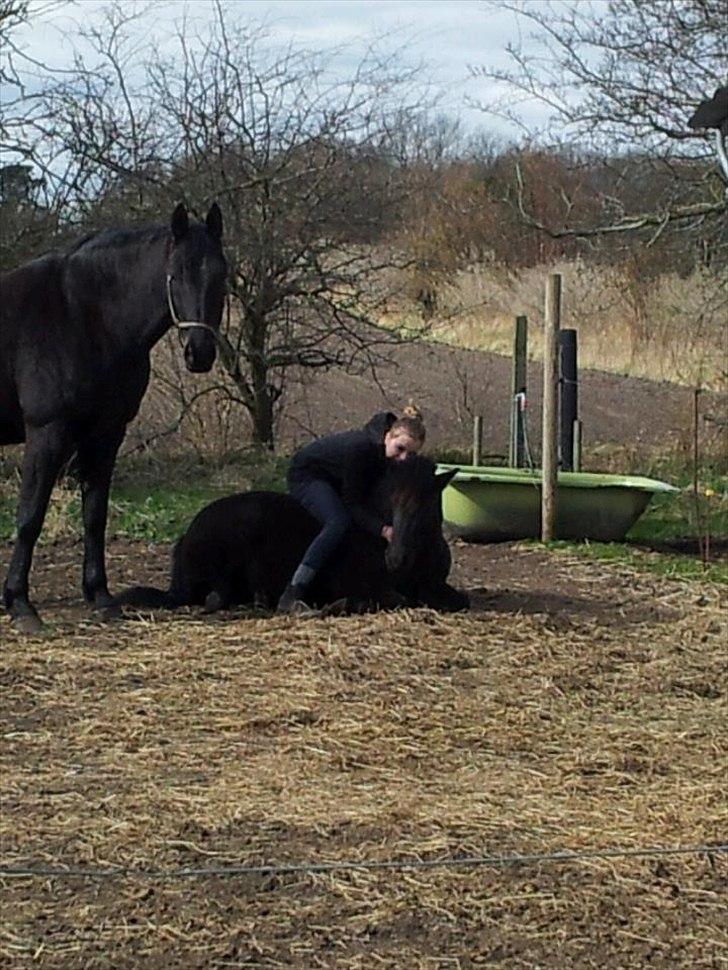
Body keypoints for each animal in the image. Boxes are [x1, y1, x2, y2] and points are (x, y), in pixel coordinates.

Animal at [0, 200, 228, 632]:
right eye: (175, 274)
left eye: (221, 275)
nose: (199, 352)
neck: (85, 316)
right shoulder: (46, 432)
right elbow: (29, 516)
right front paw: (20, 604)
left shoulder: (105, 433)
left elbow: (95, 515)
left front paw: (101, 597)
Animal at [109, 454, 472, 612]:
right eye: (391, 499)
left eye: (425, 502)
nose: (396, 557)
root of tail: (189, 534)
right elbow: (394, 599)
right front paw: (342, 604)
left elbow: (459, 600)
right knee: (216, 598)